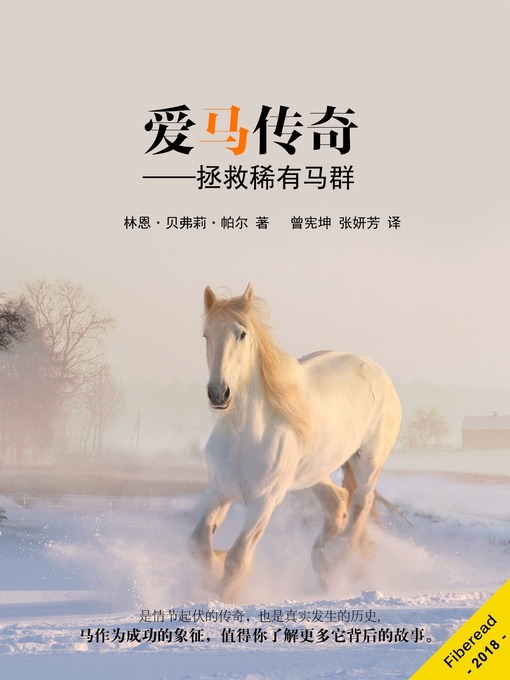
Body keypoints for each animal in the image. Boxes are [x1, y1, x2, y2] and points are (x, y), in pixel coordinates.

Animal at [191, 284, 401, 601]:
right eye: (206, 335)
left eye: (242, 334)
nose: (218, 393)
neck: (244, 436)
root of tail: (378, 372)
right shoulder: (217, 490)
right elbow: (200, 545)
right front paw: (212, 572)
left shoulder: (264, 502)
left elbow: (238, 558)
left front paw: (222, 595)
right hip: (313, 473)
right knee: (337, 501)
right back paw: (323, 561)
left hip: (368, 463)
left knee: (360, 504)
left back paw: (340, 559)